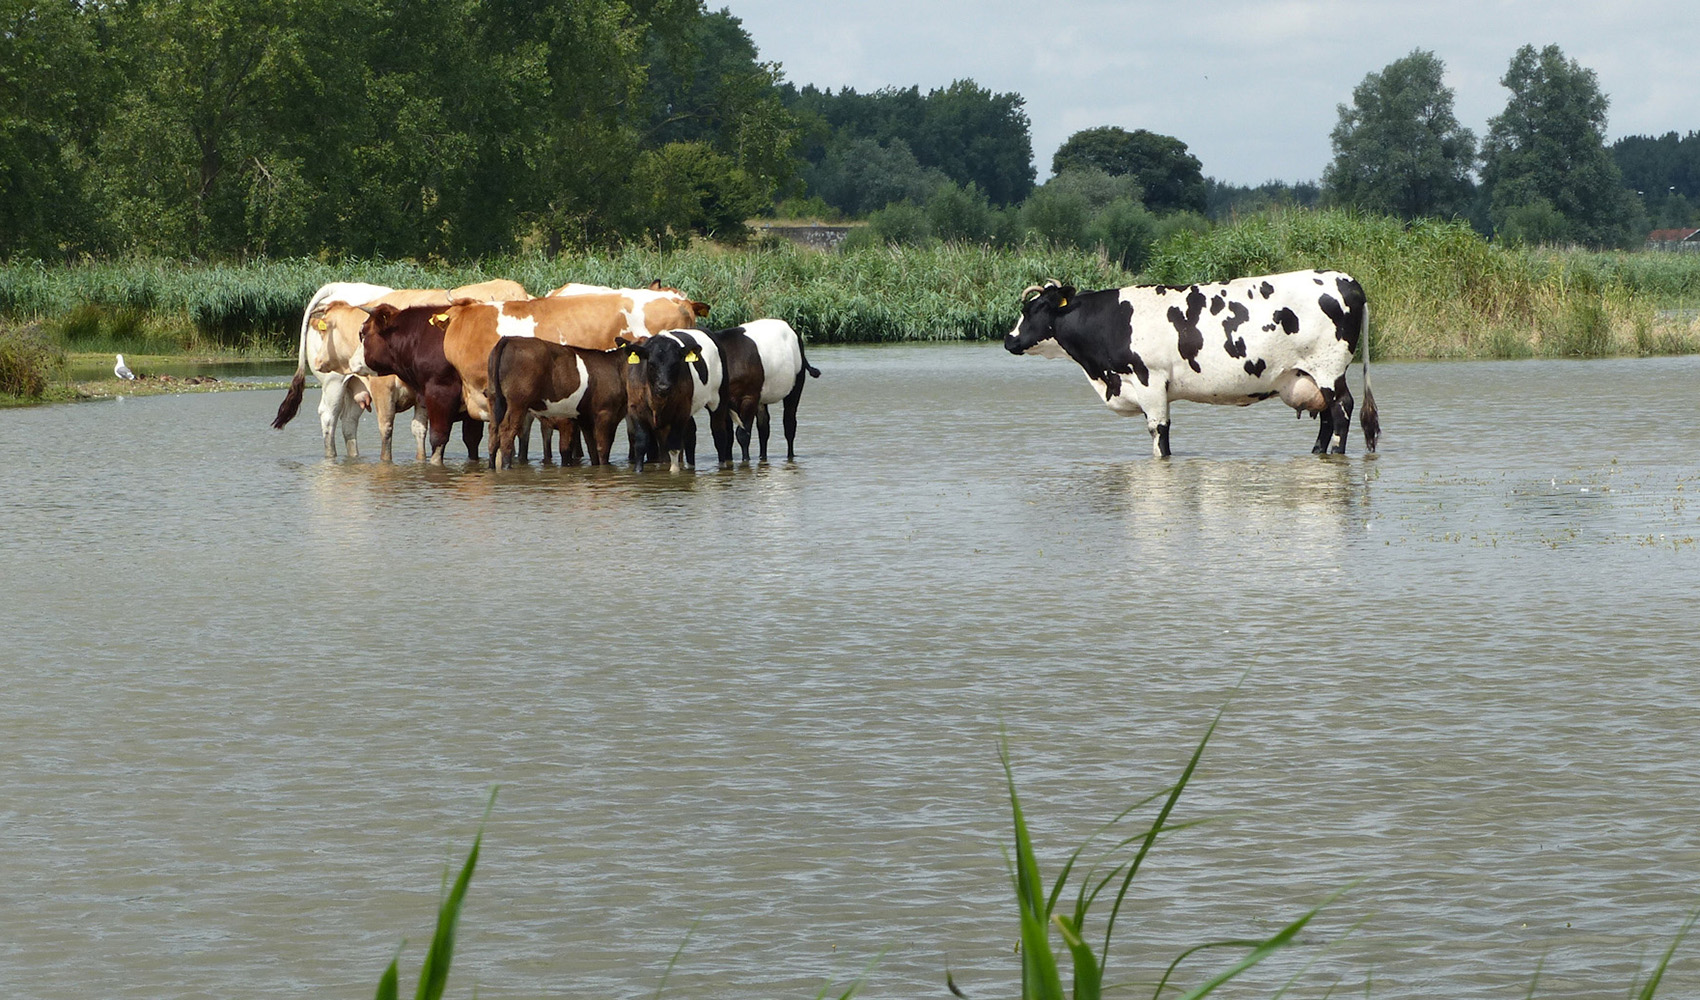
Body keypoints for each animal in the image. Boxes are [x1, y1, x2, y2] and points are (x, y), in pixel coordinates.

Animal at [486, 340, 632, 472]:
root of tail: (508, 339)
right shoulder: (604, 414)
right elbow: (602, 448)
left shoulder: (585, 420)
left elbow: (591, 449)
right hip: (517, 402)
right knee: (507, 430)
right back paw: (506, 467)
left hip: (494, 400)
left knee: (493, 432)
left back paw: (492, 467)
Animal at [629, 326, 727, 469]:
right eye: (651, 364)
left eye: (675, 364)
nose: (663, 387)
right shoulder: (635, 409)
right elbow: (641, 446)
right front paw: (638, 471)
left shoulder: (680, 412)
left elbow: (674, 447)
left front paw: (674, 472)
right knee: (691, 435)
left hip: (718, 399)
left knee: (720, 434)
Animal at [707, 318, 819, 462]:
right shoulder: (722, 403)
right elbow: (727, 436)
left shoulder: (749, 397)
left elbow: (742, 434)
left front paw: (746, 460)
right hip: (761, 396)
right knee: (764, 426)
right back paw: (763, 456)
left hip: (796, 384)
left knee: (789, 423)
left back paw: (790, 455)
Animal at [1006, 273, 1380, 462]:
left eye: (1033, 308)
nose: (1009, 340)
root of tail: (1346, 279)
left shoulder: (1150, 382)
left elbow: (1160, 435)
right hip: (1312, 375)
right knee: (1328, 417)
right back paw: (1317, 452)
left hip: (1329, 369)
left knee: (1342, 411)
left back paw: (1336, 452)